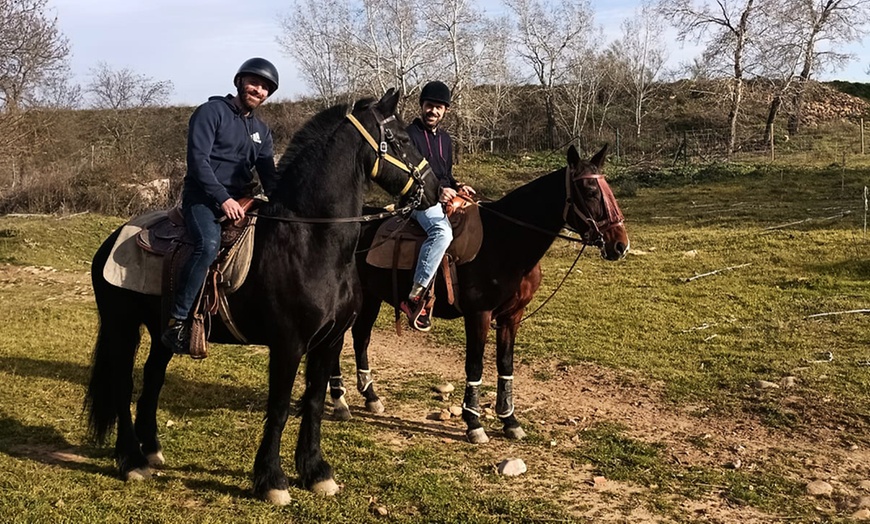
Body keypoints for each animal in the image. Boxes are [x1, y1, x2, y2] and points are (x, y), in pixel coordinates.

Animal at [84, 89, 440, 505]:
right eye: (400, 139)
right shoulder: (288, 344)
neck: (311, 239)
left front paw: (315, 472)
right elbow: (281, 407)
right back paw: (131, 460)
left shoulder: (329, 342)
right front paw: (271, 479)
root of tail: (113, 238)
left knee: (153, 379)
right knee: (123, 384)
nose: (436, 190)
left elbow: (314, 402)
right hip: (121, 327)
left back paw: (151, 449)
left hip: (162, 334)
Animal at [328, 144, 629, 443]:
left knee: (360, 338)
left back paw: (370, 396)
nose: (620, 245)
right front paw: (474, 423)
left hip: (372, 298)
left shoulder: (511, 316)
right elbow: (474, 365)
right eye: (590, 191)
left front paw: (509, 420)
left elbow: (505, 365)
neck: (505, 241)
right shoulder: (479, 314)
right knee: (338, 341)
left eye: (608, 188)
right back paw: (340, 401)